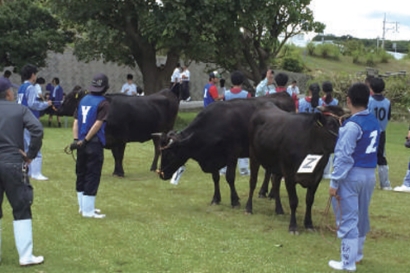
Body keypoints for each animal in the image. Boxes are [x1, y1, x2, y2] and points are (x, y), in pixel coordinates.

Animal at [159, 91, 296, 206]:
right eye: (162, 153)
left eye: (170, 154)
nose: (161, 174)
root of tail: (282, 94)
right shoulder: (212, 157)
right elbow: (215, 178)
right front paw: (215, 198)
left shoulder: (232, 153)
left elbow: (230, 177)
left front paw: (235, 200)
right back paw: (263, 192)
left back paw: (271, 193)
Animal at [247, 103, 346, 233]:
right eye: (330, 124)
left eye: (343, 123)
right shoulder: (289, 175)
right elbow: (294, 201)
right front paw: (293, 226)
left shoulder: (317, 177)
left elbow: (309, 200)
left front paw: (309, 224)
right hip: (254, 155)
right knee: (253, 182)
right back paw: (249, 208)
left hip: (277, 166)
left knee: (275, 183)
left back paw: (279, 209)